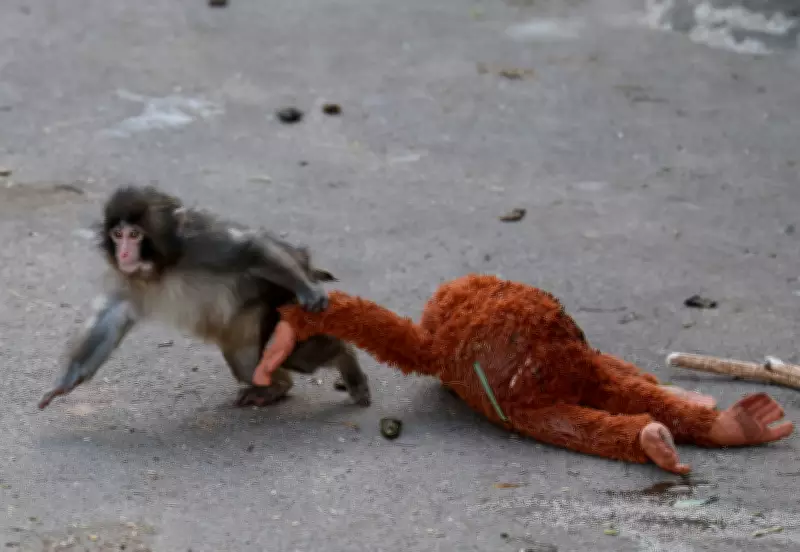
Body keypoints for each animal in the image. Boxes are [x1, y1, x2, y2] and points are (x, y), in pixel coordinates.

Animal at [38, 185, 371, 410]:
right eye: (117, 235)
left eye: (134, 235)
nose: (123, 253)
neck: (161, 266)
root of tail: (306, 261)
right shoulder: (128, 278)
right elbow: (111, 315)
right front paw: (66, 381)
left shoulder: (200, 243)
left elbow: (248, 249)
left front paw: (309, 290)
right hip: (244, 322)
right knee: (247, 362)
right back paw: (276, 387)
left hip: (279, 298)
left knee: (300, 353)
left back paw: (345, 358)